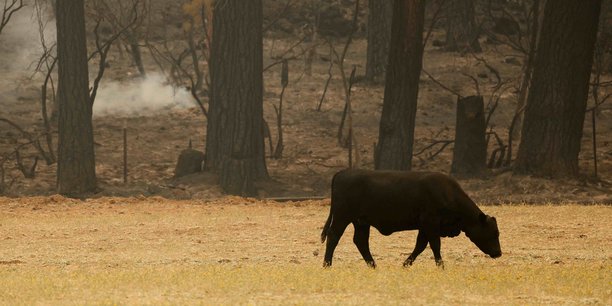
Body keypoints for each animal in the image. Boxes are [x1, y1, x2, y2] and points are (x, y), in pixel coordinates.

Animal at [320, 170, 502, 268]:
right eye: (494, 233)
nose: (498, 253)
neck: (448, 193)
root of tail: (342, 173)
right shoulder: (431, 222)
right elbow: (434, 245)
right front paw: (441, 265)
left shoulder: (424, 226)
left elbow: (420, 245)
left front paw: (406, 264)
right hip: (342, 217)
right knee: (333, 236)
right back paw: (327, 264)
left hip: (361, 222)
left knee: (360, 241)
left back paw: (373, 265)